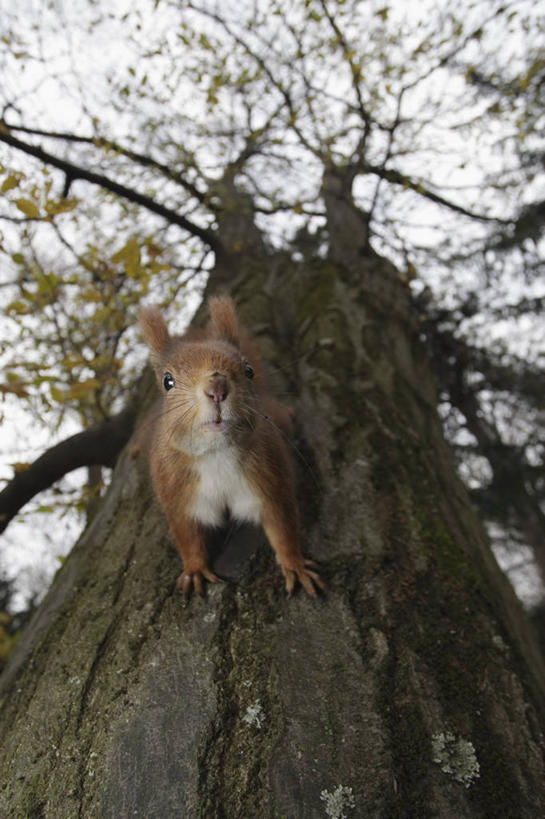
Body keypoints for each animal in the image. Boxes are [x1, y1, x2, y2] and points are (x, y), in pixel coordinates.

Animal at [138, 298, 324, 600]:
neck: (216, 454)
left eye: (248, 370)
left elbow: (282, 526)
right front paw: (194, 570)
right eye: (167, 381)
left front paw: (295, 565)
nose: (217, 387)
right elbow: (187, 535)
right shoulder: (179, 495)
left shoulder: (269, 480)